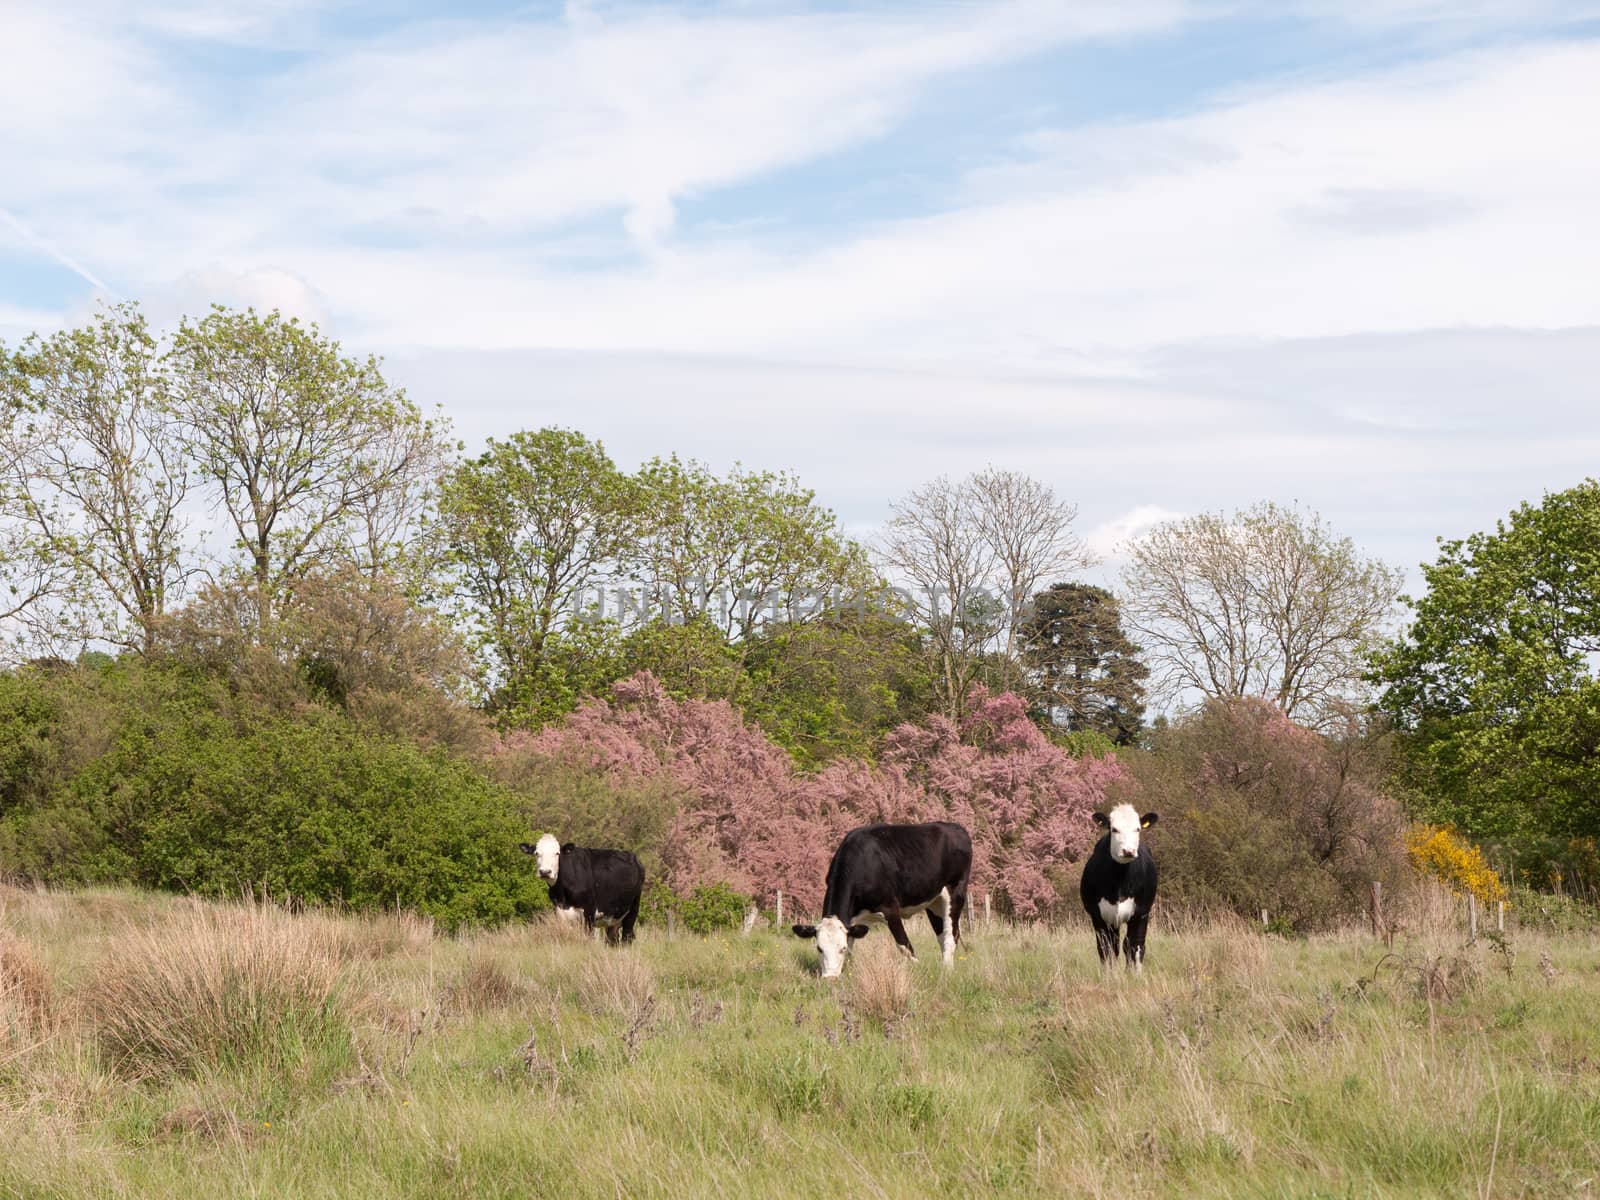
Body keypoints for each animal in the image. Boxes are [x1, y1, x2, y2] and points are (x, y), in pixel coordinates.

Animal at [790, 825, 966, 979]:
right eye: (819, 948)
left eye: (842, 948)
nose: (830, 978)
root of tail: (956, 828)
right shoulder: (853, 920)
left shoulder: (890, 909)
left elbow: (904, 945)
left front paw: (919, 969)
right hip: (934, 902)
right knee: (942, 935)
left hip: (956, 893)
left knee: (951, 936)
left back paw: (947, 972)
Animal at [1081, 803, 1158, 972]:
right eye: (1114, 829)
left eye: (1138, 829)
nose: (1128, 851)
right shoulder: (1098, 915)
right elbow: (1105, 948)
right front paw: (1109, 974)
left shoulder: (1141, 912)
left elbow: (1135, 945)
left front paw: (1133, 974)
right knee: (1113, 945)